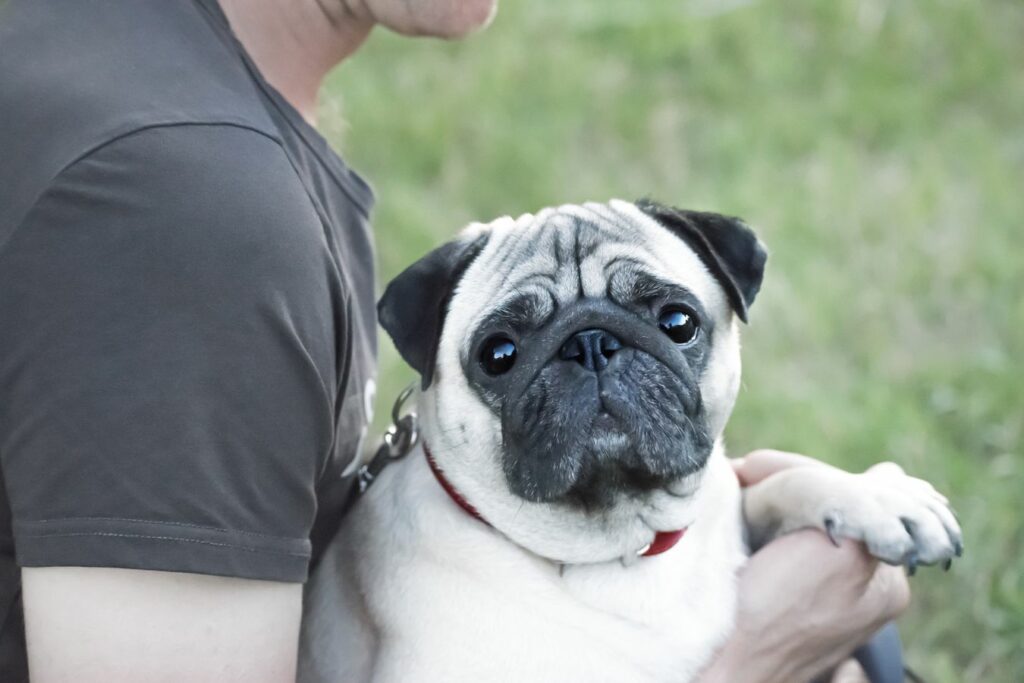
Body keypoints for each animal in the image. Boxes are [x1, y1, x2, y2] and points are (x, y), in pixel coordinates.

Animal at [299, 200, 962, 683]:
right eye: (498, 354)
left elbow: (780, 485)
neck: (620, 545)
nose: (589, 343)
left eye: (678, 322)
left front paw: (876, 497)